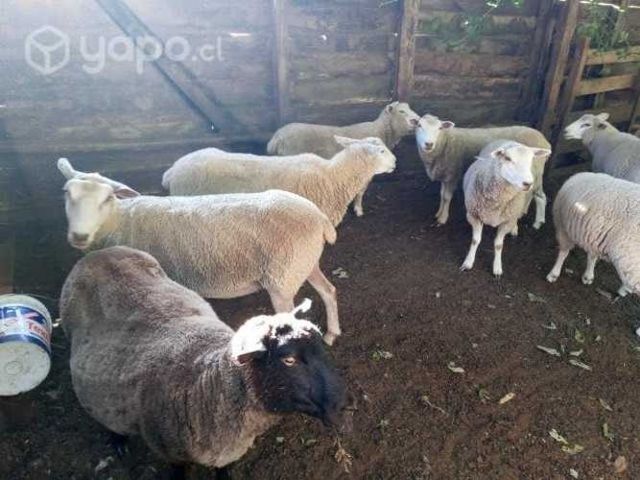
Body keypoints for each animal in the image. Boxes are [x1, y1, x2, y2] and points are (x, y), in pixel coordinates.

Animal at [57, 158, 343, 345]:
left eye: (107, 198)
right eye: (66, 192)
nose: (79, 236)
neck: (120, 220)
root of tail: (319, 217)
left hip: (282, 277)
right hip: (303, 263)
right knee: (329, 290)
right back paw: (331, 333)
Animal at [60, 246, 348, 474]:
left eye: (322, 347)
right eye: (288, 360)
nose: (343, 408)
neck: (207, 388)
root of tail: (98, 253)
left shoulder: (227, 453)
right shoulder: (171, 455)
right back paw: (117, 440)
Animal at [266, 101, 420, 217]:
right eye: (401, 111)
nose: (416, 121)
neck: (383, 132)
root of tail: (277, 137)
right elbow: (360, 191)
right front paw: (358, 210)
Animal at [415, 114, 551, 227]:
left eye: (439, 128)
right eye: (419, 125)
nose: (429, 144)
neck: (445, 142)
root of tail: (545, 141)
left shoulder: (452, 174)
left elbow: (447, 197)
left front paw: (443, 218)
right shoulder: (445, 175)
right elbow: (442, 194)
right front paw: (439, 212)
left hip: (535, 172)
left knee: (541, 196)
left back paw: (538, 222)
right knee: (531, 193)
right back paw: (524, 211)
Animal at [460, 140, 551, 276]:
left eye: (531, 159)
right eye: (508, 158)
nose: (528, 183)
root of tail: (509, 140)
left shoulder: (507, 221)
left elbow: (498, 245)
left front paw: (497, 268)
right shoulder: (474, 216)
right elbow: (475, 240)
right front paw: (468, 262)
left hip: (536, 186)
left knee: (539, 199)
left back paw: (529, 224)